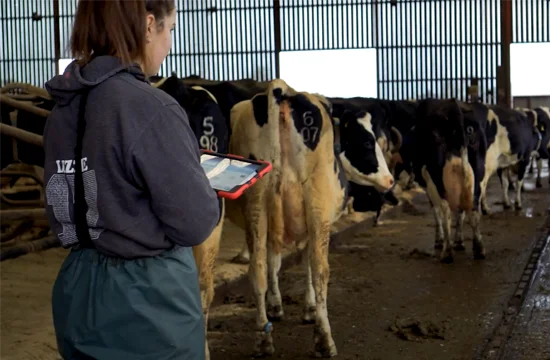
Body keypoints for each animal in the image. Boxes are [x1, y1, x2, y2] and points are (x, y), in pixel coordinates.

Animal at [225, 80, 396, 358]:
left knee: (257, 268)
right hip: (315, 202)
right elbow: (306, 263)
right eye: (367, 143)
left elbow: (274, 263)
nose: (390, 180)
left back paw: (263, 339)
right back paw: (324, 339)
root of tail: (282, 89)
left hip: (256, 202)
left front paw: (276, 306)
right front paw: (310, 308)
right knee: (319, 269)